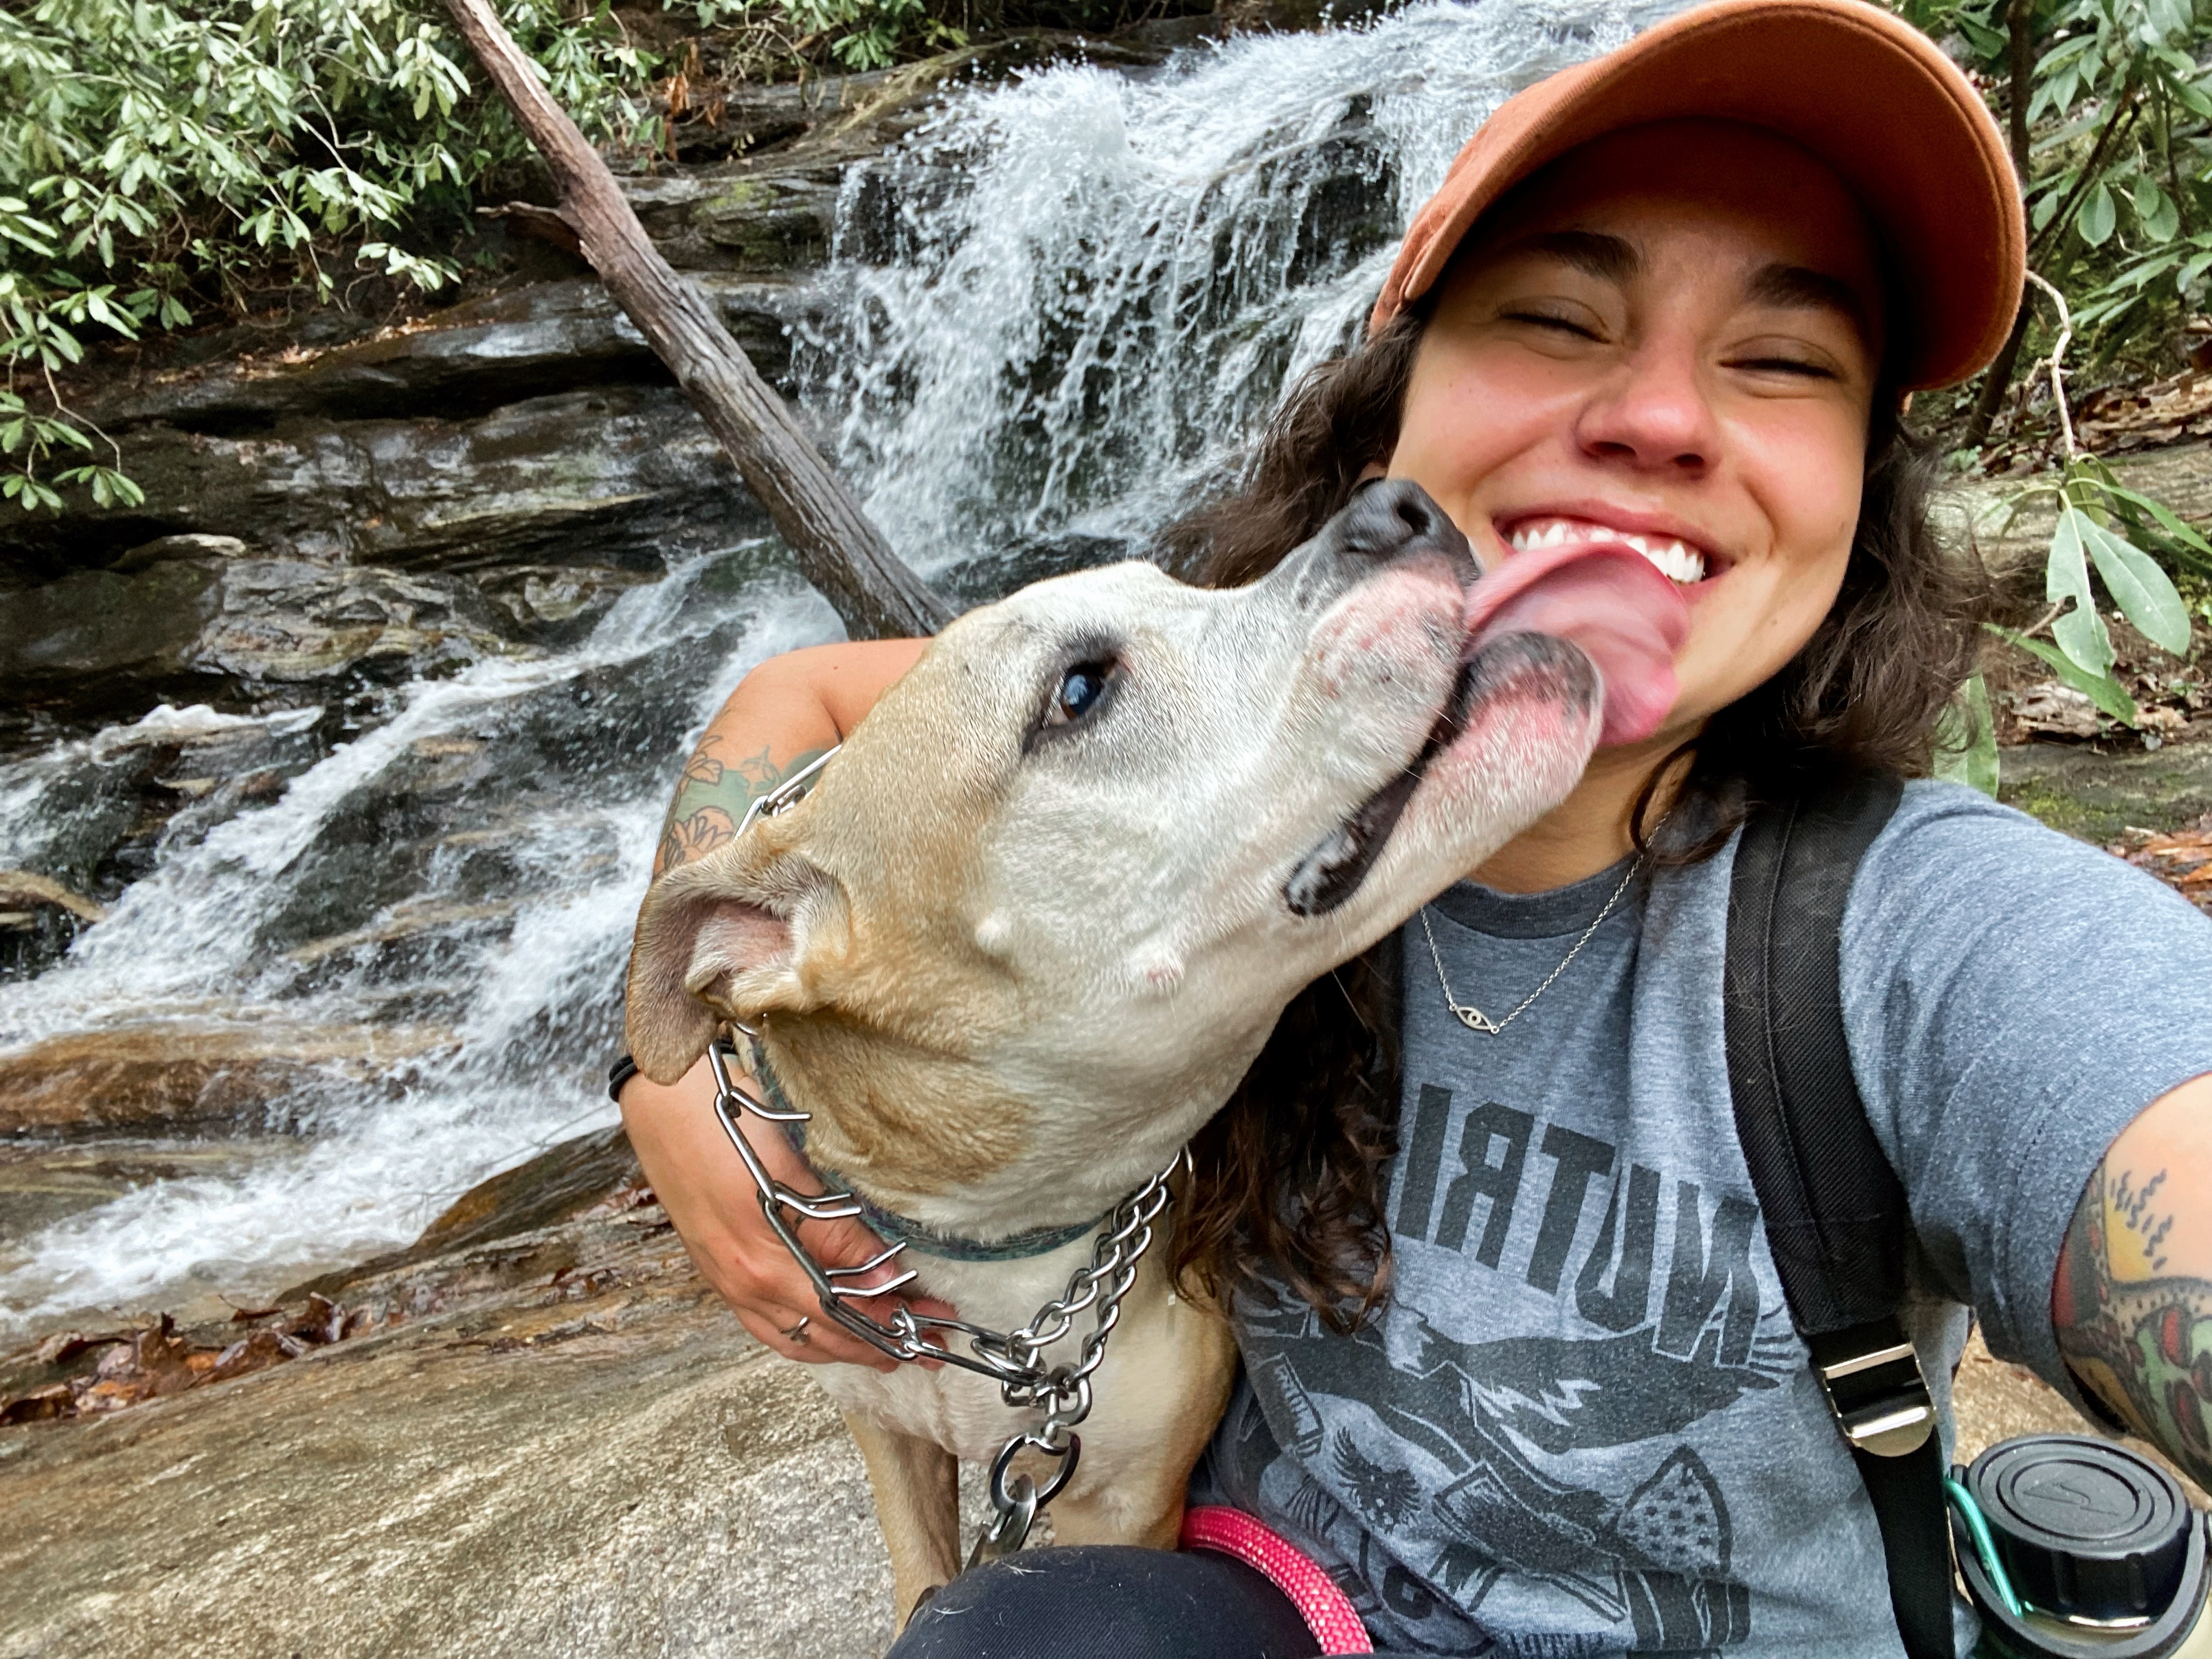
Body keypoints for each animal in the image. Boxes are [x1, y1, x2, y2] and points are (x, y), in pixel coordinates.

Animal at [624, 477, 1672, 1628]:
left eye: (1180, 583)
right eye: (1079, 690)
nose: (1397, 505)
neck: (1004, 1263)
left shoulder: (1125, 1500)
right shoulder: (890, 1436)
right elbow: (917, 1576)